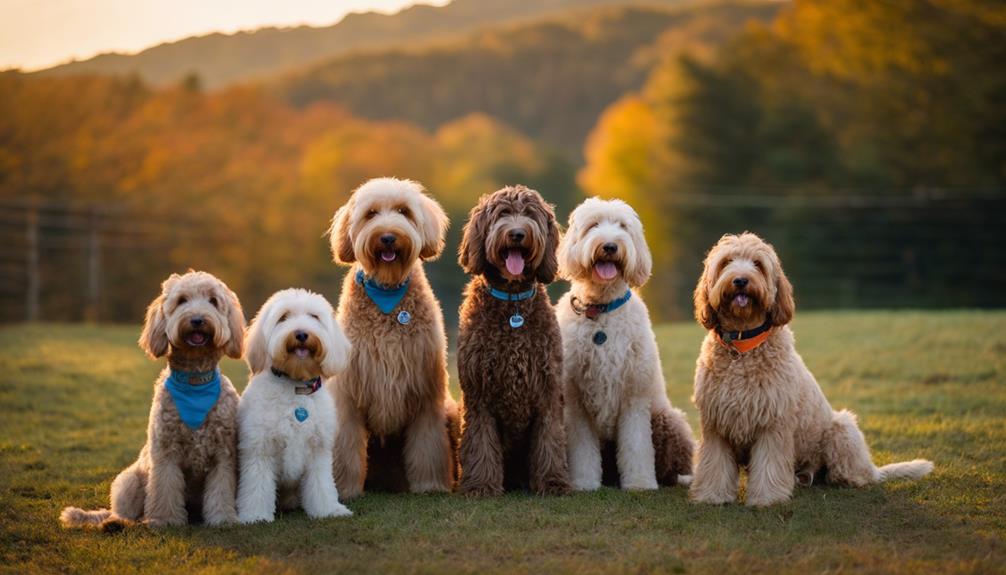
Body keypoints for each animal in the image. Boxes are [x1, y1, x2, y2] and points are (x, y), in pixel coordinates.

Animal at [327, 177, 458, 496]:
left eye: (403, 211)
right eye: (371, 214)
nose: (387, 237)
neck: (387, 291)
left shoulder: (426, 391)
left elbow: (428, 446)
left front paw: (430, 485)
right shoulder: (350, 392)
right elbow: (346, 447)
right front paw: (344, 489)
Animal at [458, 183, 571, 494]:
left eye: (530, 214)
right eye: (501, 214)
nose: (517, 233)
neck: (512, 304)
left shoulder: (548, 391)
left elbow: (550, 441)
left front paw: (553, 482)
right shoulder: (478, 394)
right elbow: (480, 443)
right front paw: (481, 485)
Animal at [559, 198, 692, 490]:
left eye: (622, 226)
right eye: (593, 225)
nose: (610, 246)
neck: (601, 311)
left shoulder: (634, 392)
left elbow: (636, 444)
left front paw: (641, 483)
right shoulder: (575, 399)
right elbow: (582, 448)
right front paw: (583, 482)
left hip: (667, 419)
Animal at [692, 231, 933, 504]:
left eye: (757, 264)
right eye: (727, 262)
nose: (741, 280)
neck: (742, 346)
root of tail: (872, 469)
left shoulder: (772, 424)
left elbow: (768, 465)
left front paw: (766, 499)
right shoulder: (715, 424)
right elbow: (715, 465)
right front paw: (712, 496)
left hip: (842, 428)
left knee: (856, 474)